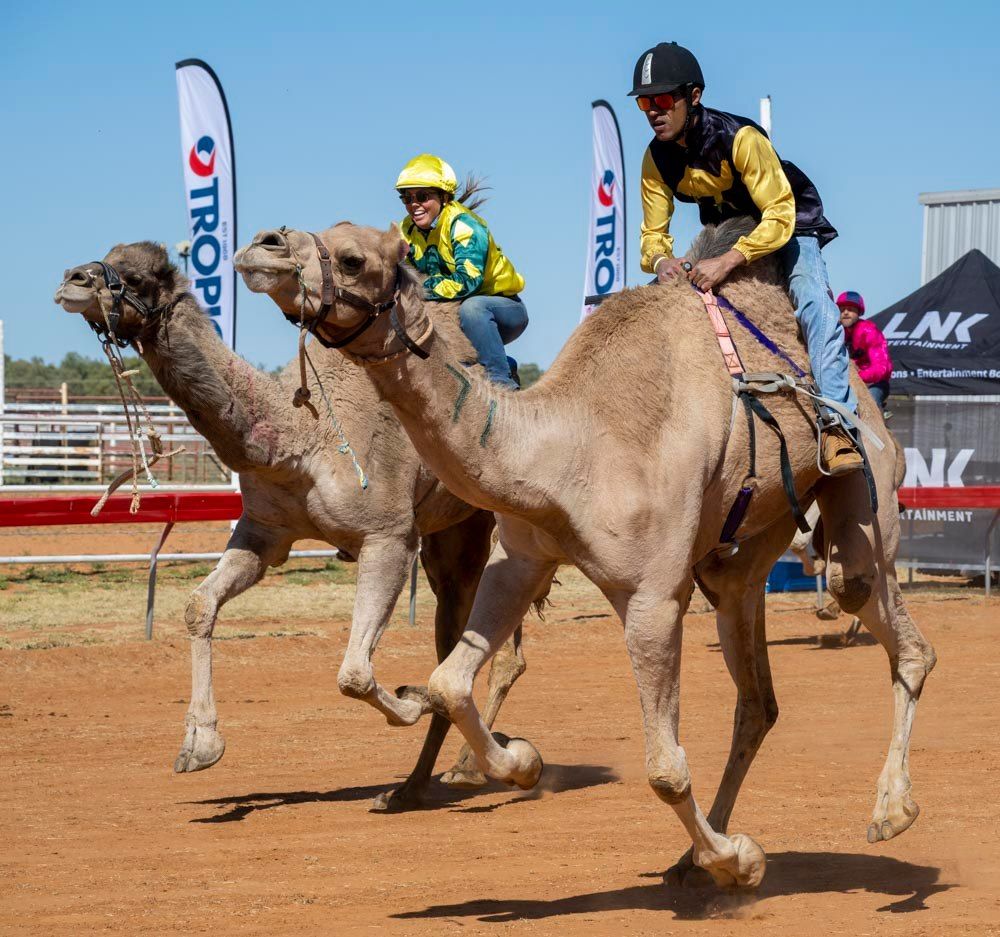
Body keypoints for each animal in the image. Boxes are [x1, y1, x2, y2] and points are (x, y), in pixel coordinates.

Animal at [52, 245, 532, 808]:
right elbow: (199, 605)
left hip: (495, 521)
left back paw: (472, 768)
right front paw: (199, 746)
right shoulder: (264, 532)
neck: (301, 436)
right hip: (450, 539)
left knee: (494, 652)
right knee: (457, 638)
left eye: (137, 276)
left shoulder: (388, 535)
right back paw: (413, 787)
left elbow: (354, 674)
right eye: (106, 256)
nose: (72, 280)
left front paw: (410, 705)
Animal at [236, 218, 936, 884]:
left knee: (887, 622)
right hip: (734, 561)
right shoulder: (522, 560)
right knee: (758, 699)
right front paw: (522, 763)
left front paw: (740, 862)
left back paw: (890, 813)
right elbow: (447, 682)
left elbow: (664, 768)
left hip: (865, 492)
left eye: (353, 258)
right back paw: (695, 858)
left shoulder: (654, 597)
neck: (571, 446)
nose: (260, 244)